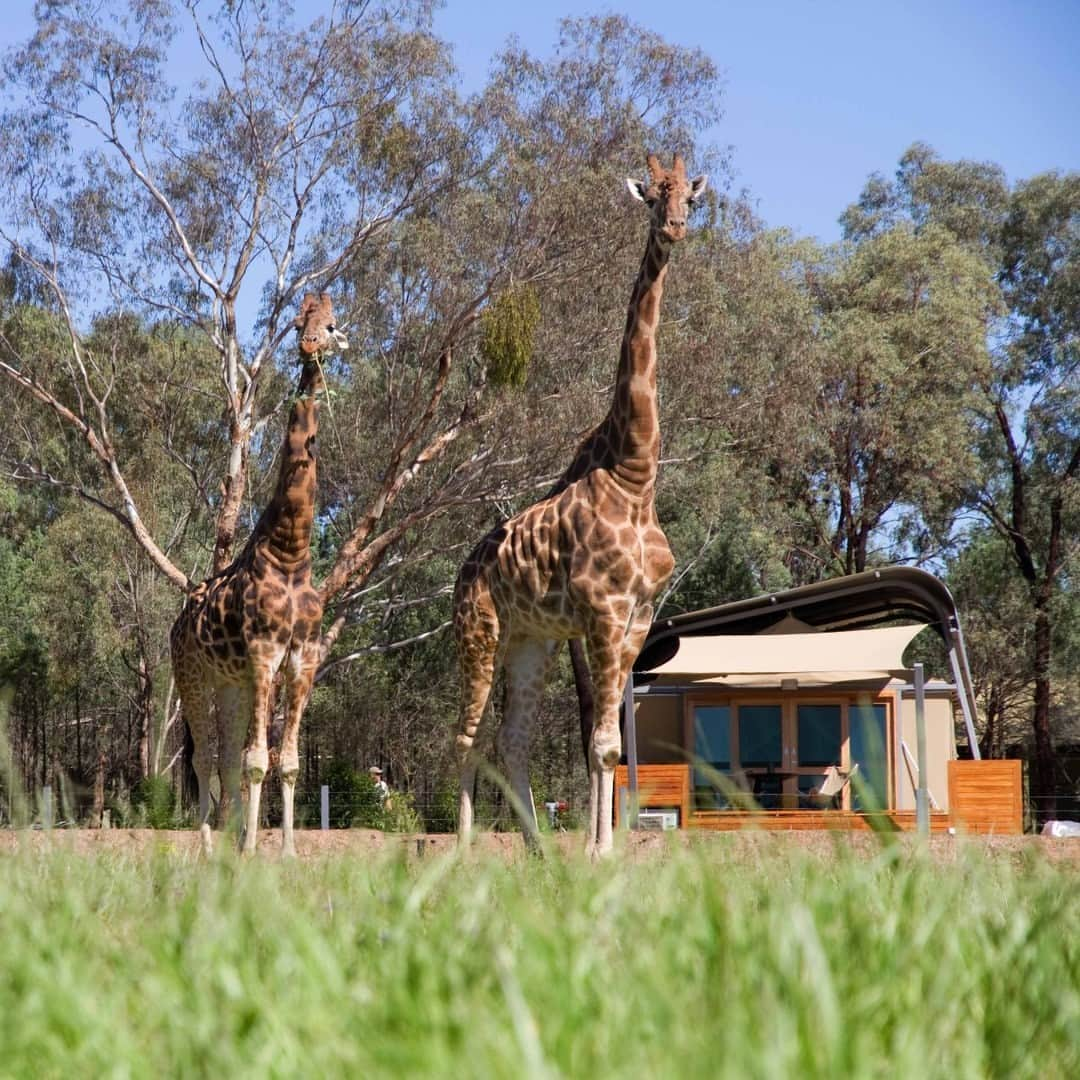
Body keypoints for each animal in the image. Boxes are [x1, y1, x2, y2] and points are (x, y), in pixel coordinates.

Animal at [168, 293, 347, 851]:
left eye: (331, 324)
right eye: (299, 321)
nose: (310, 346)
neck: (291, 554)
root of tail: (177, 622)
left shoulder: (302, 659)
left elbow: (286, 763)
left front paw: (284, 851)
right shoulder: (265, 655)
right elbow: (255, 762)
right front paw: (250, 850)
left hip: (232, 685)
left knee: (223, 757)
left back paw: (224, 842)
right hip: (192, 674)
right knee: (205, 758)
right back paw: (209, 846)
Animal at [451, 154, 704, 859]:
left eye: (692, 197)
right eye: (652, 195)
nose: (674, 228)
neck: (636, 474)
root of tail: (460, 575)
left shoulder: (638, 617)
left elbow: (609, 744)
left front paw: (599, 849)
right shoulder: (602, 614)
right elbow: (600, 742)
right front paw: (598, 850)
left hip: (528, 644)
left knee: (510, 740)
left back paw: (538, 850)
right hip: (479, 635)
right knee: (465, 737)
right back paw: (462, 848)